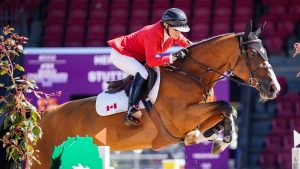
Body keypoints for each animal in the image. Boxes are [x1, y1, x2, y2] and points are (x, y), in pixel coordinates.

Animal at [29, 21, 280, 169]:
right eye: (252, 53)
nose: (274, 89)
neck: (192, 76)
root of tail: (43, 115)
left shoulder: (199, 116)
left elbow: (226, 112)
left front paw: (211, 139)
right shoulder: (182, 117)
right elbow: (226, 106)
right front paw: (220, 140)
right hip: (42, 159)